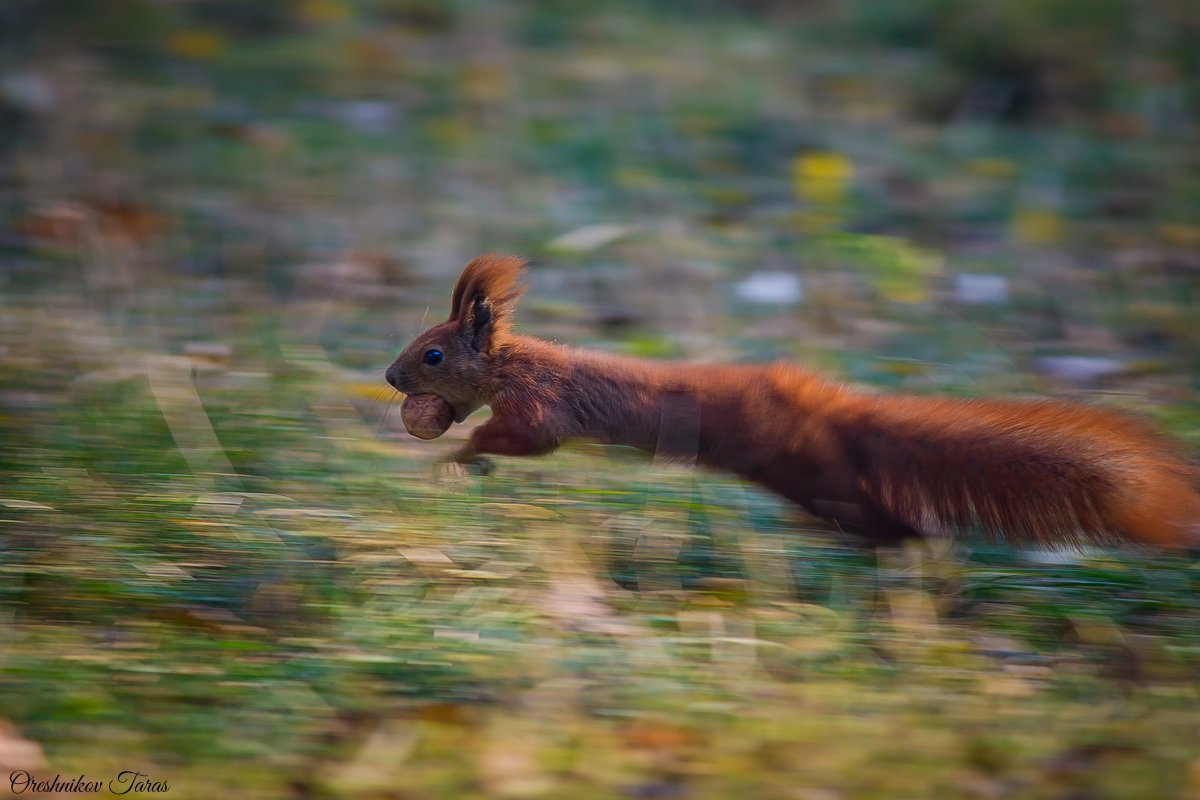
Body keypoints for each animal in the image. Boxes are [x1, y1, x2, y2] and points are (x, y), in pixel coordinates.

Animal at [386, 255, 1200, 551]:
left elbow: (525, 437)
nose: (391, 379)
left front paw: (461, 453)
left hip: (812, 475)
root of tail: (831, 414)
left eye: (432, 354)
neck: (516, 362)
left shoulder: (541, 405)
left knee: (883, 520)